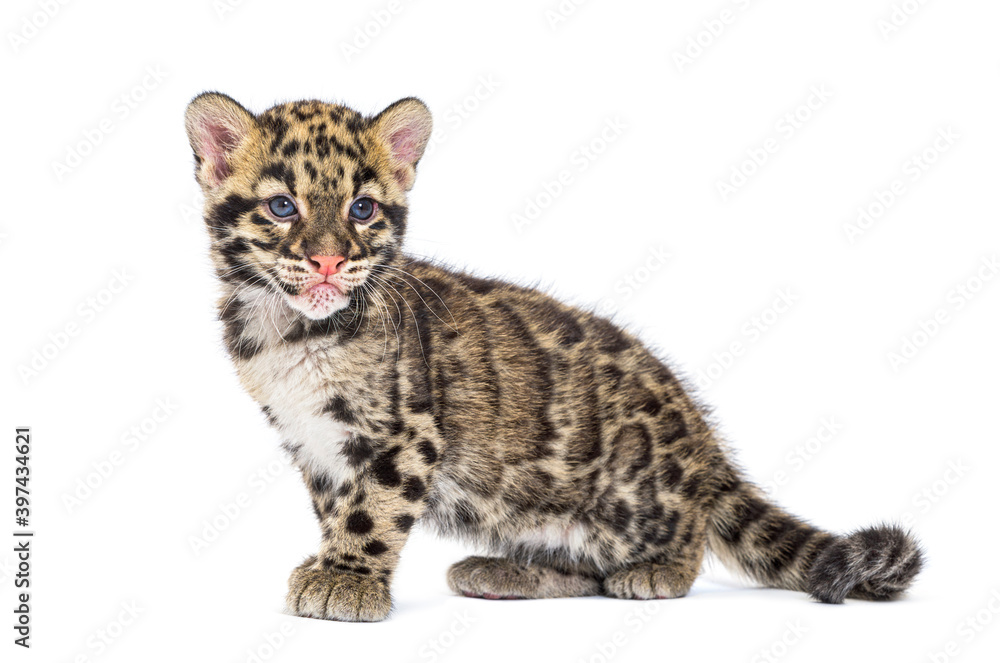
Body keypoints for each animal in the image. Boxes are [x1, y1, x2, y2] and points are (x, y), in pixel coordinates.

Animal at [183, 92, 923, 621]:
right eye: (283, 206)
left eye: (362, 209)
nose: (331, 260)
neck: (285, 331)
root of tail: (706, 448)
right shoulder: (314, 443)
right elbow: (339, 507)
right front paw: (330, 566)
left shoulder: (404, 433)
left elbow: (373, 510)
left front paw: (348, 579)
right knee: (583, 568)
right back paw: (499, 572)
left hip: (634, 497)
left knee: (679, 543)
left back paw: (653, 573)